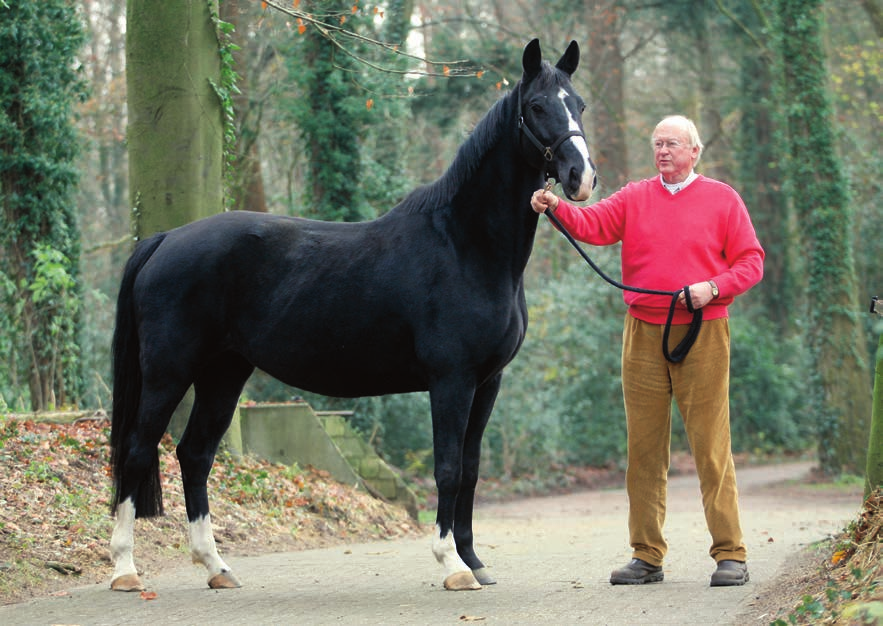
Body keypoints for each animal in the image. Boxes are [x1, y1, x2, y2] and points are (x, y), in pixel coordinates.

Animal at [109, 39, 592, 588]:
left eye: (578, 104)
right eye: (537, 107)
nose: (581, 177)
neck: (464, 245)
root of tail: (166, 238)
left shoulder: (487, 382)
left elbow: (469, 469)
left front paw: (473, 561)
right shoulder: (452, 379)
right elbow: (447, 468)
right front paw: (451, 564)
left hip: (223, 373)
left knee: (194, 454)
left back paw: (216, 567)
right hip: (168, 372)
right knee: (138, 451)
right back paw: (125, 569)